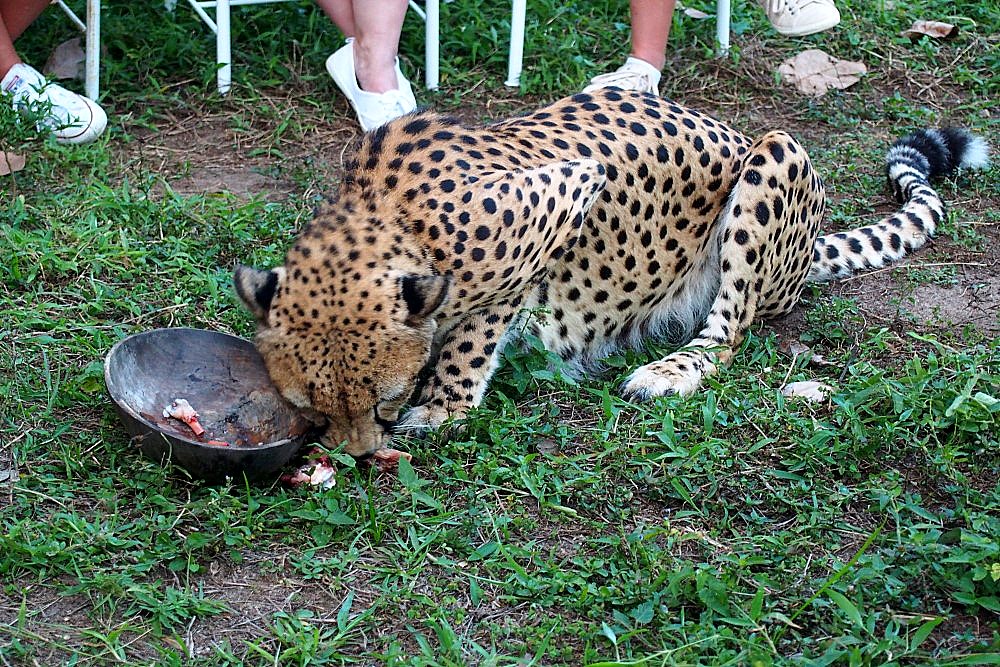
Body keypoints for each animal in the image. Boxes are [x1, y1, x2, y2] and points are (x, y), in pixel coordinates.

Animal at [232, 90, 984, 460]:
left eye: (384, 401)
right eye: (309, 408)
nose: (360, 457)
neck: (383, 216)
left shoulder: (562, 196)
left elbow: (474, 333)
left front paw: (444, 405)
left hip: (775, 157)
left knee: (730, 330)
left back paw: (669, 371)